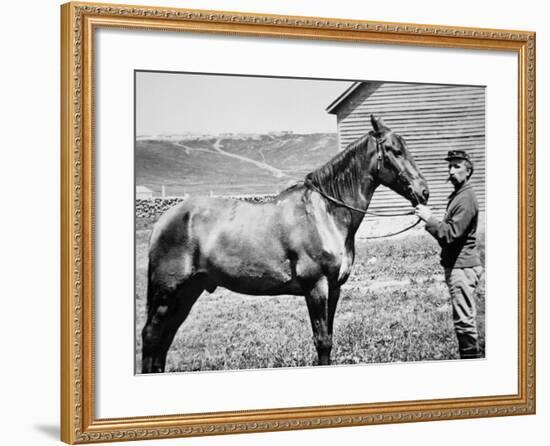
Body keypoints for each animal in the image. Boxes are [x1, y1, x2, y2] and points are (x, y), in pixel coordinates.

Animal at [141, 115, 432, 372]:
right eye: (395, 151)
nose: (424, 192)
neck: (323, 213)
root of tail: (165, 219)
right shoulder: (316, 287)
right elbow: (322, 341)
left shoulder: (334, 289)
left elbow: (328, 338)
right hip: (169, 293)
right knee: (151, 336)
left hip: (188, 291)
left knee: (165, 338)